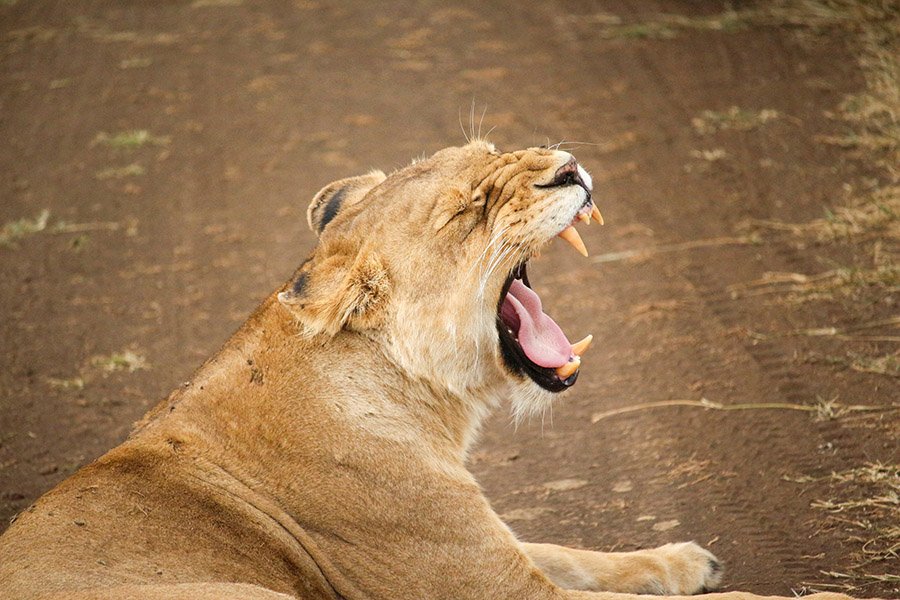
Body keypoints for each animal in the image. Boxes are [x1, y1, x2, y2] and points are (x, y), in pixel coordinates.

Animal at [0, 142, 860, 600]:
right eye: (467, 210)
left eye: (494, 154)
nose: (571, 166)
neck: (428, 405)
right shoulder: (489, 585)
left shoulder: (491, 552)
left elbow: (576, 553)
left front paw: (686, 560)